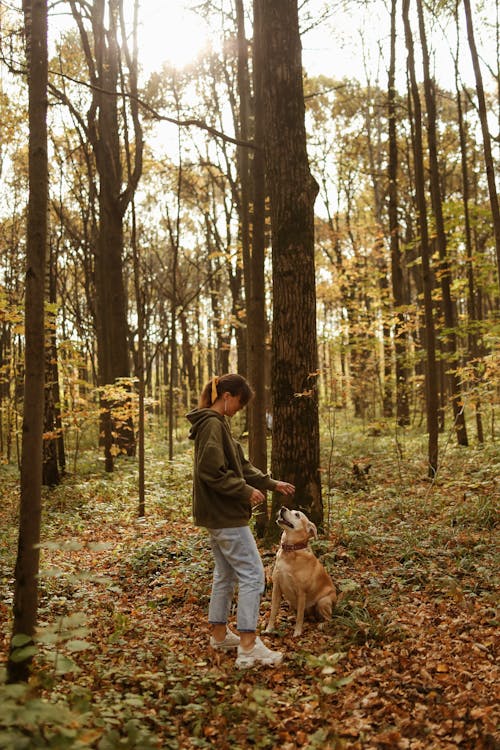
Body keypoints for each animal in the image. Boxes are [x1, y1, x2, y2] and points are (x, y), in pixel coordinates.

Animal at [266, 508, 336, 636]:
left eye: (297, 515)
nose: (283, 508)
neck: (291, 550)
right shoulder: (276, 588)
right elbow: (273, 611)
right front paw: (269, 628)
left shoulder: (301, 592)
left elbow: (300, 616)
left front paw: (297, 632)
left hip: (323, 601)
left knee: (329, 618)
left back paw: (322, 624)